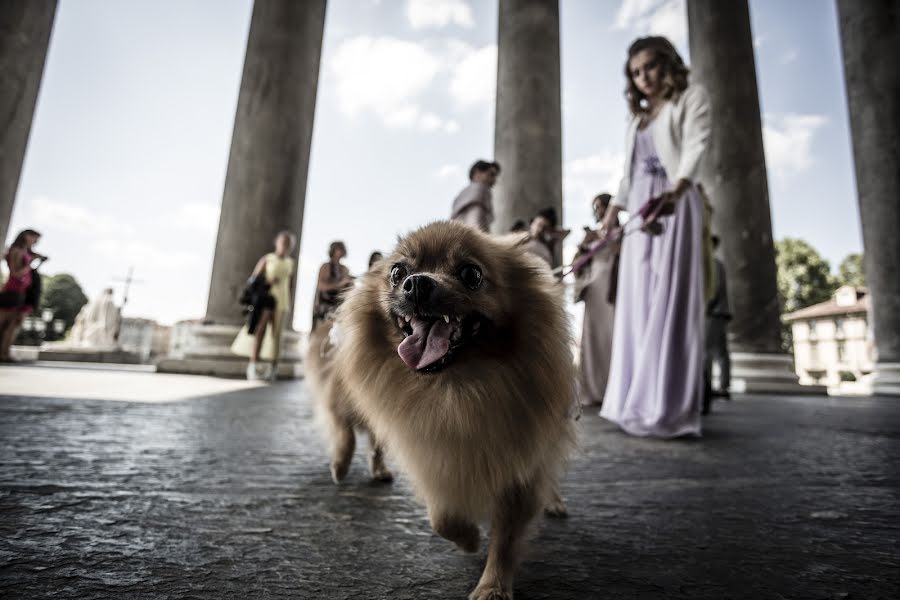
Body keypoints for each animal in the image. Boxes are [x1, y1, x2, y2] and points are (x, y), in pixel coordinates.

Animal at [310, 221, 576, 600]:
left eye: (471, 274)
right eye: (397, 272)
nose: (417, 283)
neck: (453, 393)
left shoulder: (521, 468)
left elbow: (506, 538)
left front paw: (493, 587)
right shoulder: (431, 455)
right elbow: (442, 516)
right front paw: (469, 540)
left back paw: (553, 502)